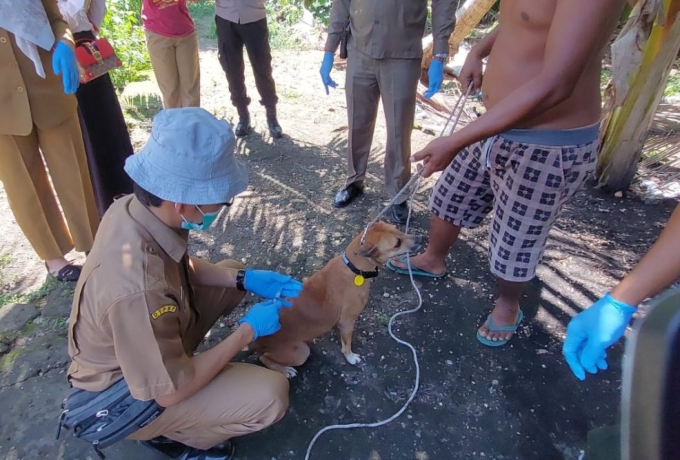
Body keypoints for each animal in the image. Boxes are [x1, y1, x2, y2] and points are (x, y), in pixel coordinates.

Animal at [255, 222, 424, 378]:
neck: (354, 267)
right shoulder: (347, 322)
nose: (421, 238)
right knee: (264, 358)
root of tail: (258, 341)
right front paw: (350, 357)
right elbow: (347, 345)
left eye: (398, 229)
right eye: (397, 243)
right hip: (300, 352)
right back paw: (285, 370)